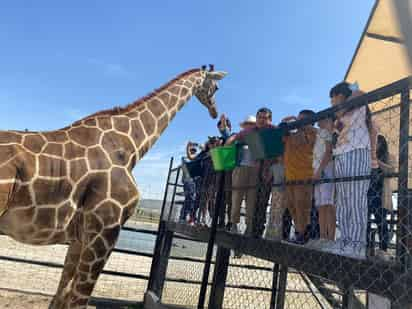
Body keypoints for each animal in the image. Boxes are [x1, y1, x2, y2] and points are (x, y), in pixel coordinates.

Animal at [0, 64, 227, 306]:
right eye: (216, 87)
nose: (215, 112)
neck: (130, 147)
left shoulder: (80, 237)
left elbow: (61, 296)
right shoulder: (105, 230)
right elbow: (78, 299)